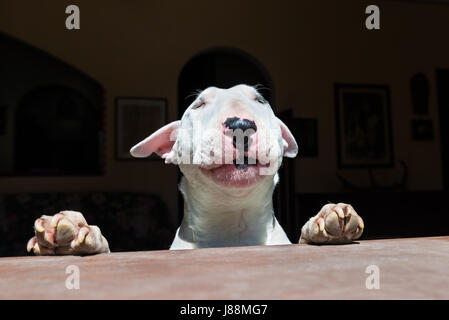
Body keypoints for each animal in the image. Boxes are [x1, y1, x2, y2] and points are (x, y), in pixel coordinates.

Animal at [25, 84, 364, 255]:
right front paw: (71, 231)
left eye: (260, 100)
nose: (240, 124)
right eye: (198, 105)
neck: (231, 226)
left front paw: (326, 220)